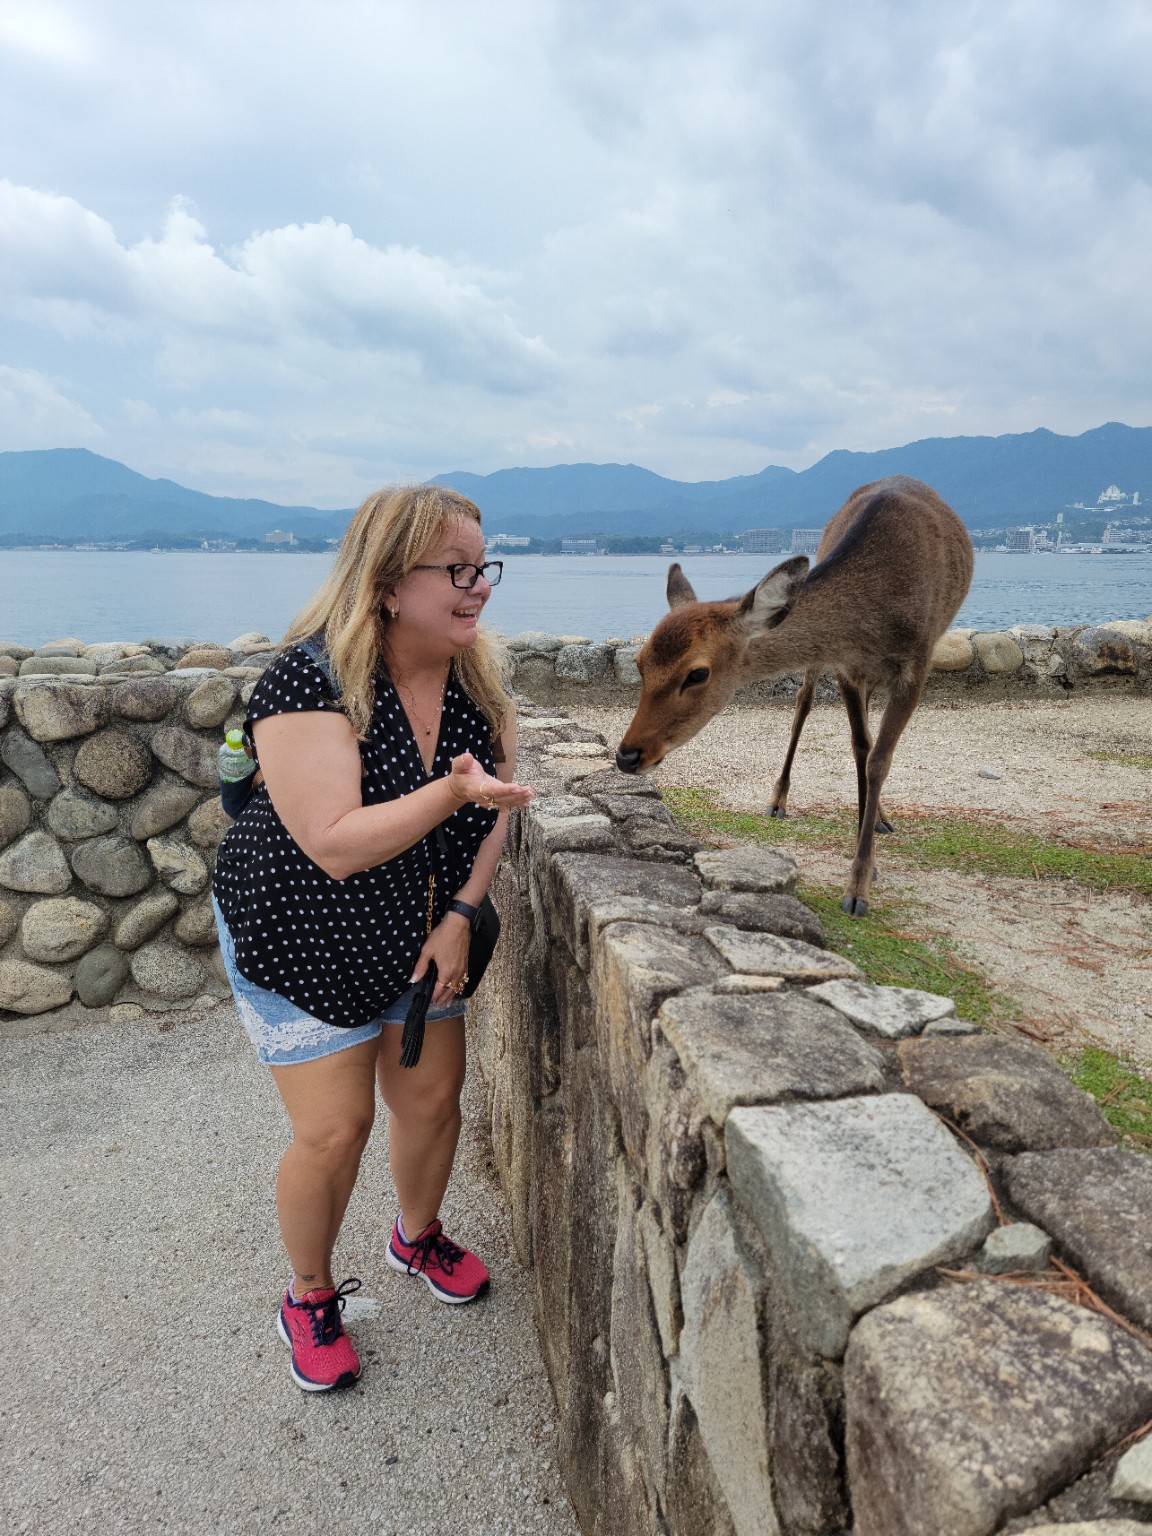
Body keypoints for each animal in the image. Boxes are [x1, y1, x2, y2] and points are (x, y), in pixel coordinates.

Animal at [615, 476, 974, 916]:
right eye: (639, 662)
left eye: (697, 673)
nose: (627, 755)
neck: (877, 617)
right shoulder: (845, 665)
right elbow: (860, 746)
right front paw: (866, 860)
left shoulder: (917, 663)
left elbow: (878, 760)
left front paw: (858, 886)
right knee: (805, 702)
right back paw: (783, 800)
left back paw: (878, 819)